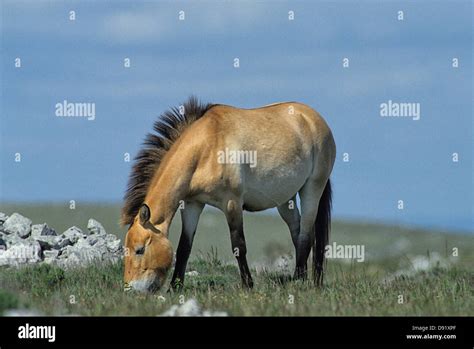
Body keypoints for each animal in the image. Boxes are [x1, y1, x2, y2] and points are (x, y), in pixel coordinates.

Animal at [122, 96, 336, 292]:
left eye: (139, 250)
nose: (130, 289)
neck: (206, 150)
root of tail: (314, 118)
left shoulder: (232, 203)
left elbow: (238, 246)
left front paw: (248, 286)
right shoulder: (192, 204)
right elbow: (184, 247)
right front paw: (175, 288)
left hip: (312, 189)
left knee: (306, 235)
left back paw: (301, 282)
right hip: (285, 199)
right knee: (297, 232)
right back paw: (300, 278)